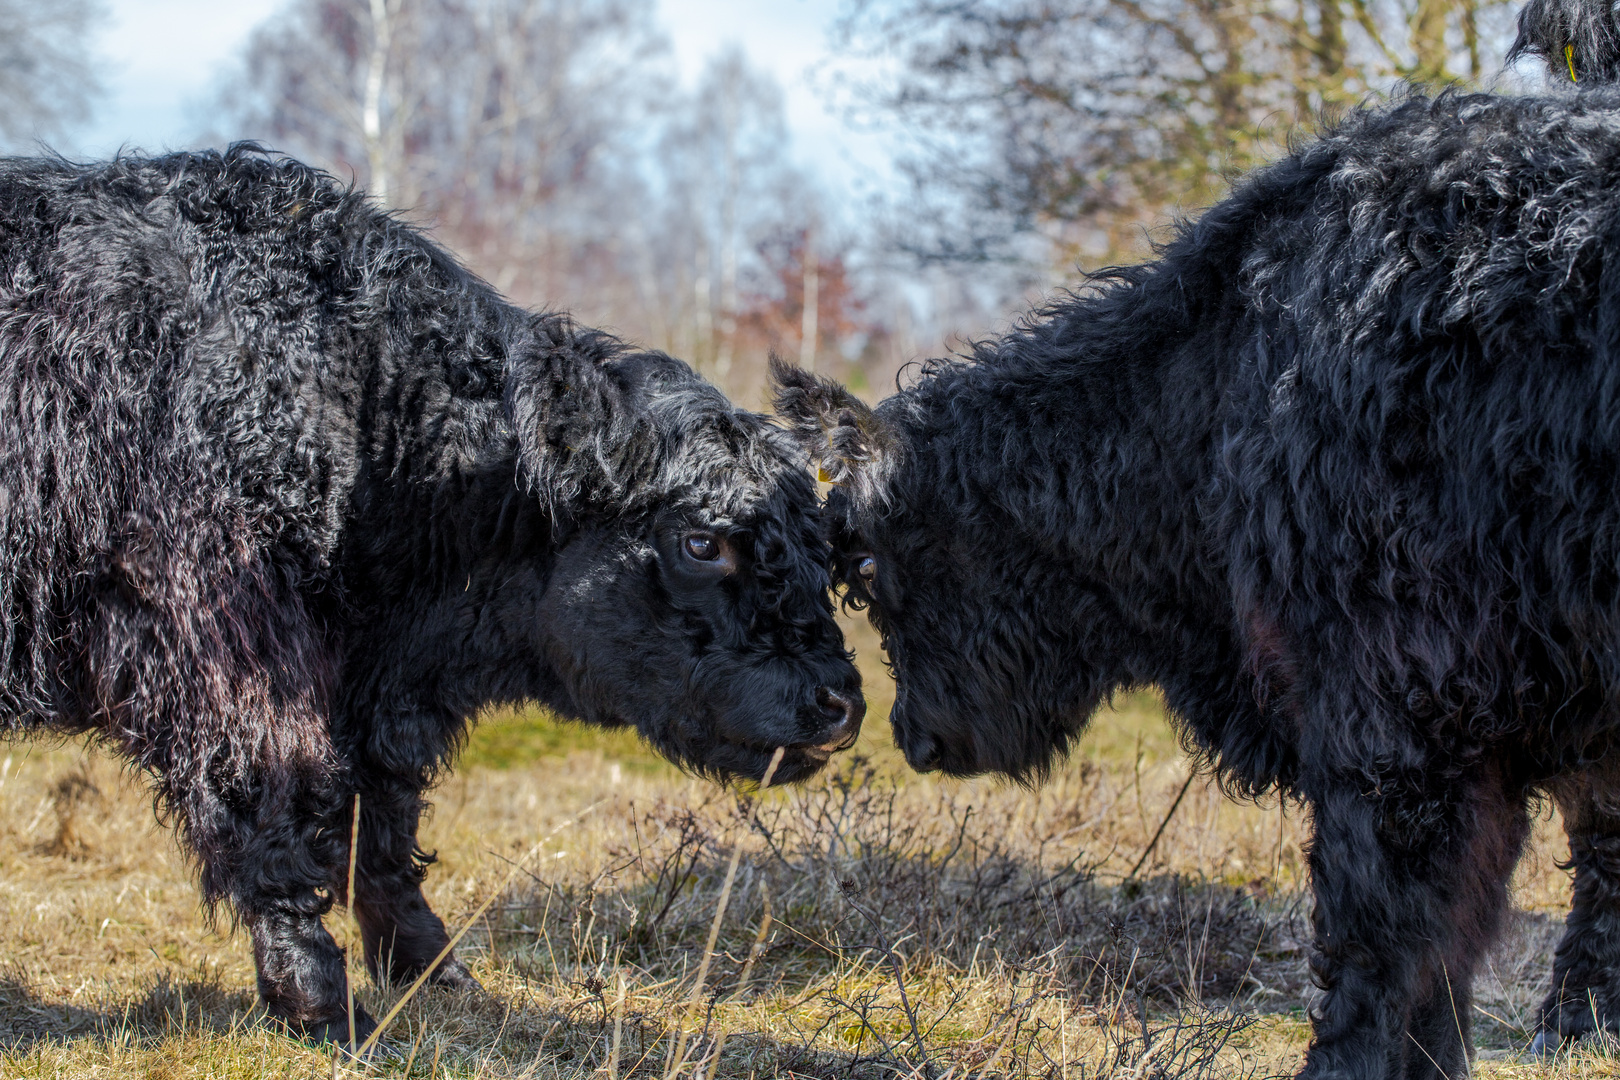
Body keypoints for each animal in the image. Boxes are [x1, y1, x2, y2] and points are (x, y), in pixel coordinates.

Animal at [0, 145, 868, 1049]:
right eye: (702, 542)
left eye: (824, 547)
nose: (839, 701)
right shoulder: (228, 650)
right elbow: (277, 800)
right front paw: (320, 1002)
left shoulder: (378, 691)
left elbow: (381, 824)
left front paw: (430, 970)